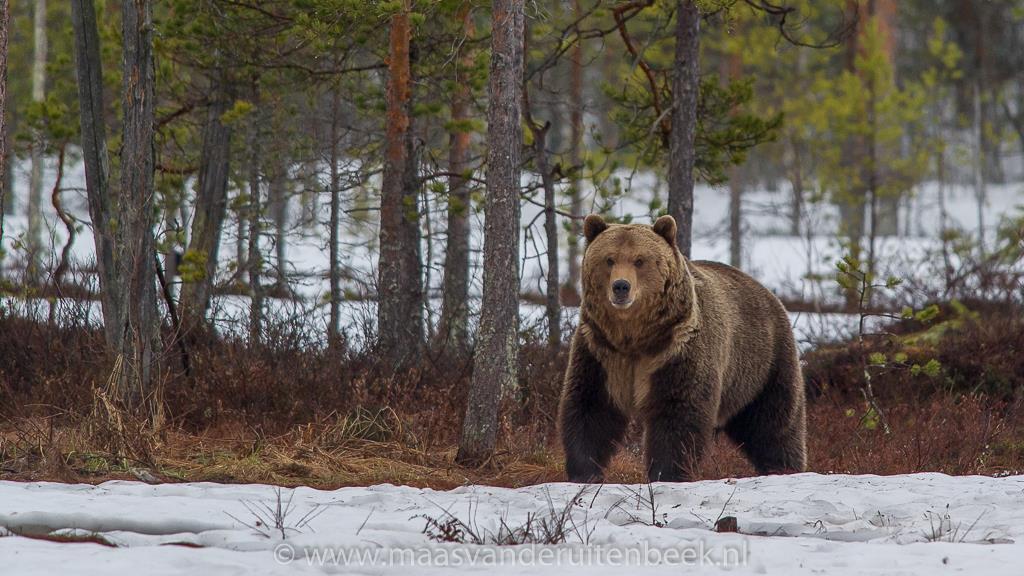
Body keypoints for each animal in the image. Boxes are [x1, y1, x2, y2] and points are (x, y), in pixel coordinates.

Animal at [561, 213, 806, 481]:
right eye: (609, 259)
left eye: (640, 260)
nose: (621, 286)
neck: (635, 337)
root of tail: (768, 292)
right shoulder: (601, 350)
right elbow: (591, 406)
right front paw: (584, 471)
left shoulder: (677, 349)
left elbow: (678, 413)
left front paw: (666, 473)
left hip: (763, 365)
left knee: (773, 424)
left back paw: (784, 468)